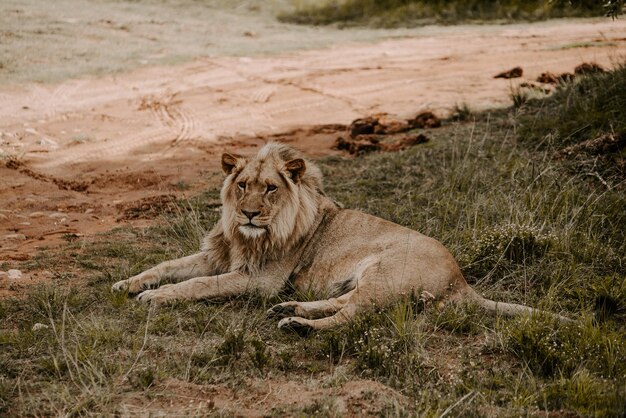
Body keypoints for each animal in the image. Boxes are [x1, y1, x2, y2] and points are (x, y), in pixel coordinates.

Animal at [109, 142, 568, 332]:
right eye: (242, 185)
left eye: (270, 189)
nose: (249, 213)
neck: (247, 236)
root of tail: (461, 279)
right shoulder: (218, 256)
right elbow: (168, 265)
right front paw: (128, 283)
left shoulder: (259, 279)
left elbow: (199, 284)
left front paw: (155, 297)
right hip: (370, 281)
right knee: (345, 302)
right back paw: (291, 309)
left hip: (385, 275)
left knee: (352, 316)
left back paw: (298, 325)